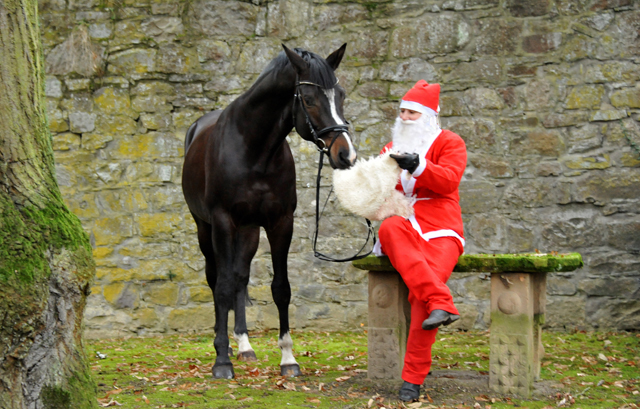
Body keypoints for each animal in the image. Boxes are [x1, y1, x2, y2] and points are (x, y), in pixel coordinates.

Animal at [182, 43, 358, 378]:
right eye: (309, 98)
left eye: (340, 95)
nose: (346, 154)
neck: (254, 150)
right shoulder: (222, 222)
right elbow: (222, 286)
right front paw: (221, 361)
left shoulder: (280, 223)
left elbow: (280, 288)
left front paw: (288, 359)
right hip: (205, 229)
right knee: (217, 278)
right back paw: (224, 345)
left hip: (249, 231)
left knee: (240, 276)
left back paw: (244, 346)